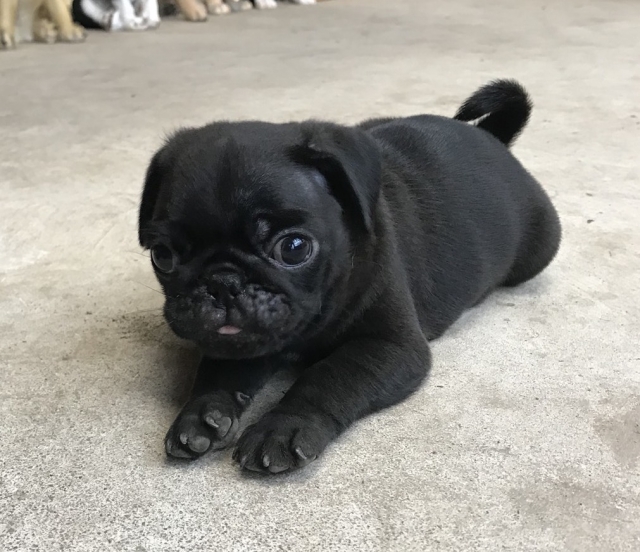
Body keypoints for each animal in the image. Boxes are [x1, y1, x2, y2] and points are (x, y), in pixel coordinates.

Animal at [138, 80, 561, 474]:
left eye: (294, 248)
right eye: (162, 256)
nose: (223, 282)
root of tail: (492, 137)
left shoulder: (388, 346)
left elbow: (327, 377)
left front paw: (283, 427)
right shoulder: (239, 342)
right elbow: (218, 370)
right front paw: (201, 414)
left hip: (540, 247)